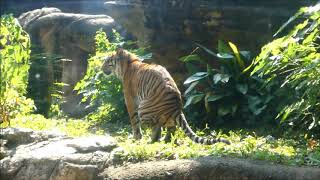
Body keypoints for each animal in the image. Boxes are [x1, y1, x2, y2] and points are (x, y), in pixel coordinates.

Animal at [102, 48, 230, 145]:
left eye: (107, 61)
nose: (101, 68)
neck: (128, 63)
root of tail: (176, 107)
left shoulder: (130, 100)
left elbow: (134, 121)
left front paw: (136, 138)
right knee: (171, 127)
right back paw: (166, 140)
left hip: (143, 109)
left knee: (156, 127)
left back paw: (152, 141)